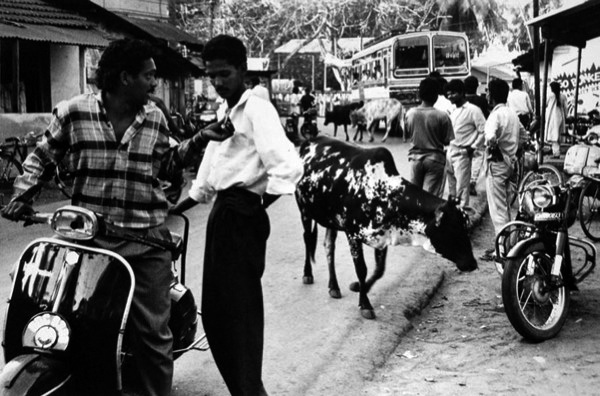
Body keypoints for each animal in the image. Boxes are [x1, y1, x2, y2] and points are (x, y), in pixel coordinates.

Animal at [296, 136, 478, 318]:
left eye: (466, 226)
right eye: (453, 229)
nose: (472, 263)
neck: (386, 195)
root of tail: (311, 141)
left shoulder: (382, 238)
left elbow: (379, 270)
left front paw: (360, 287)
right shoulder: (352, 234)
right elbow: (361, 269)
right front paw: (365, 304)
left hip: (330, 220)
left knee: (329, 246)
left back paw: (333, 286)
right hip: (305, 212)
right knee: (307, 239)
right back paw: (307, 274)